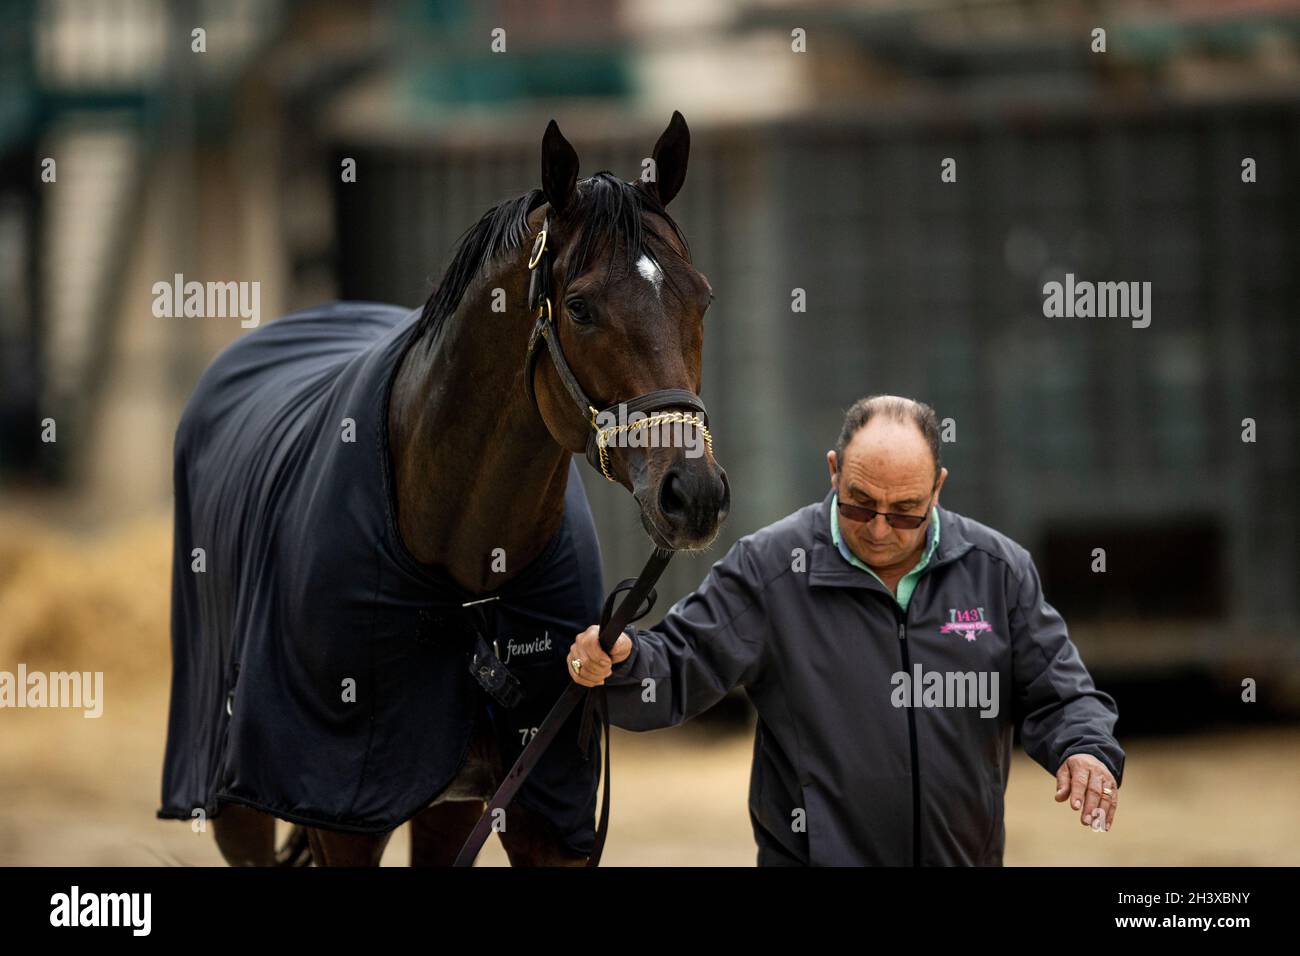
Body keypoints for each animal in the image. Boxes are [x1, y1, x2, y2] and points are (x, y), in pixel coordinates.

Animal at [157, 111, 728, 868]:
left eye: (702, 297)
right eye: (579, 308)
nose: (693, 494)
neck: (466, 586)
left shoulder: (544, 815)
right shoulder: (341, 819)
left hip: (449, 808)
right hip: (237, 808)